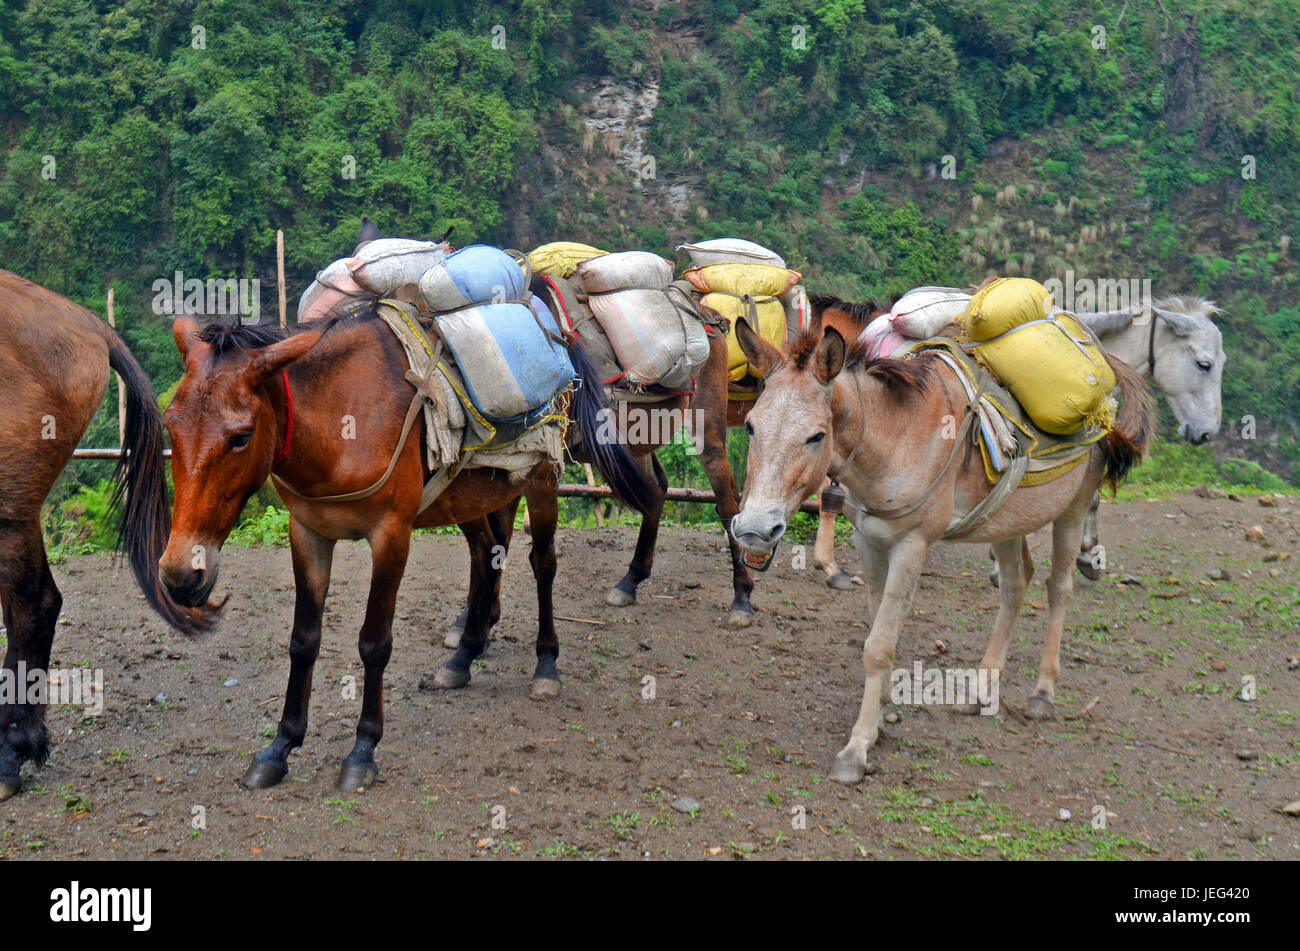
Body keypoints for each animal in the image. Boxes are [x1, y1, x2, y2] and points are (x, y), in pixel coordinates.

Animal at [157, 305, 655, 791]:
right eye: (169, 428)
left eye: (240, 436)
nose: (180, 574)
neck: (340, 419)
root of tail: (555, 329)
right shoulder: (308, 533)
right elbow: (303, 641)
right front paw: (280, 747)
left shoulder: (391, 534)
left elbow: (374, 643)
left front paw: (362, 752)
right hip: (470, 496)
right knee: (486, 556)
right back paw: (464, 656)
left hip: (541, 479)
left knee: (543, 563)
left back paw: (546, 664)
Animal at [727, 314, 1153, 783]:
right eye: (750, 426)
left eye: (816, 436)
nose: (754, 529)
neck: (897, 437)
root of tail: (1107, 369)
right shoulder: (869, 540)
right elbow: (875, 627)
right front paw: (882, 714)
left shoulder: (912, 546)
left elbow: (879, 646)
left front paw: (858, 748)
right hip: (1007, 519)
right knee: (1015, 584)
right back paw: (983, 689)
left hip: (1074, 509)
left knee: (1058, 588)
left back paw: (1043, 693)